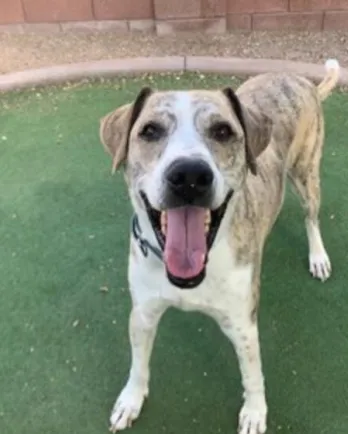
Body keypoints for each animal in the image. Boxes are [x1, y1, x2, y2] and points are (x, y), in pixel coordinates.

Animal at [99, 58, 338, 434]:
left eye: (223, 132)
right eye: (150, 131)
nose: (189, 175)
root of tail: (299, 79)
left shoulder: (243, 325)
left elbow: (252, 374)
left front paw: (254, 412)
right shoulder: (143, 314)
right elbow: (138, 363)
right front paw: (130, 400)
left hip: (306, 172)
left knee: (311, 216)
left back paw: (318, 256)